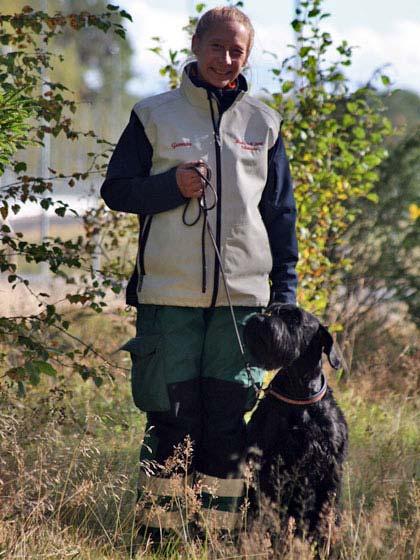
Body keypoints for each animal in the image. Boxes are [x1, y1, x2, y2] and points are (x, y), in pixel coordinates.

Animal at [243, 304, 348, 548]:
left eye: (294, 319)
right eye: (271, 310)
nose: (259, 320)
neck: (300, 394)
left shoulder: (332, 469)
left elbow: (326, 512)